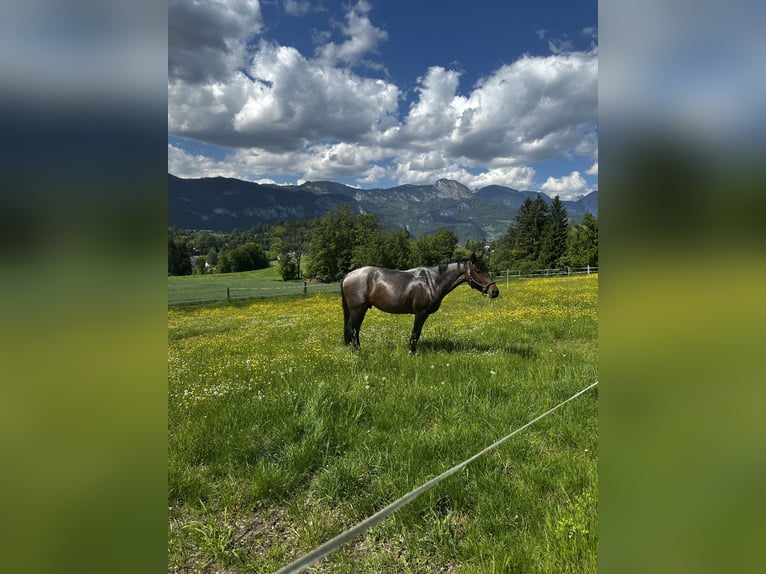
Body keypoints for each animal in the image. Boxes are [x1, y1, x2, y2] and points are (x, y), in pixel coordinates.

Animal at [340, 253, 499, 353]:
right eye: (478, 270)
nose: (494, 291)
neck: (432, 281)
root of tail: (348, 275)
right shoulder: (420, 312)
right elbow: (415, 334)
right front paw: (412, 353)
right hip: (358, 310)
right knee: (353, 331)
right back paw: (357, 352)